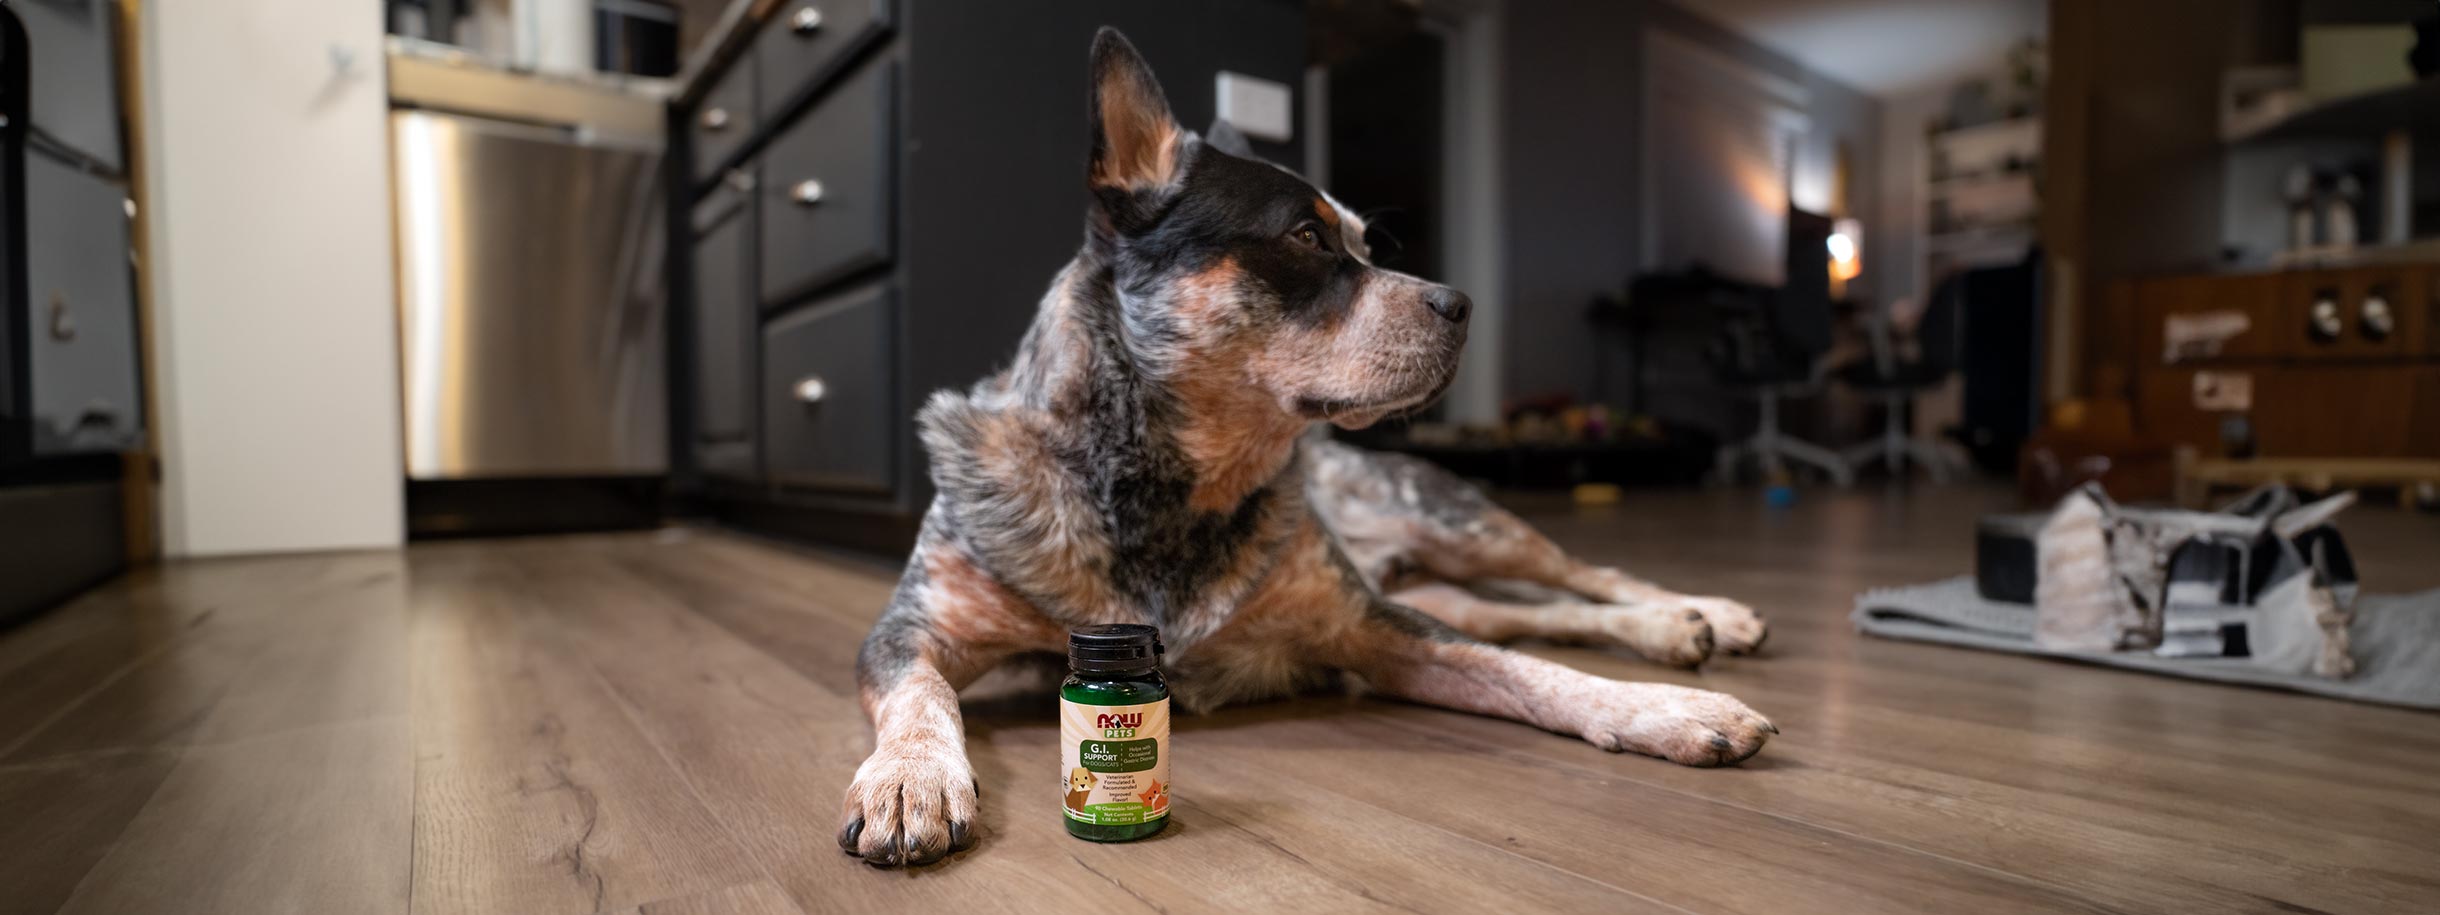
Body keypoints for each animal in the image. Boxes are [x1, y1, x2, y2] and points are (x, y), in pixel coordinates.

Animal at [839, 28, 1776, 868]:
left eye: (1363, 241)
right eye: (1306, 237)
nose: (1464, 304)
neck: (1171, 486)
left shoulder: (1371, 626)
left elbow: (1529, 671)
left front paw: (1670, 709)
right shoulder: (914, 625)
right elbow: (920, 690)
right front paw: (910, 778)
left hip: (1457, 522)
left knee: (1581, 578)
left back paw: (1697, 615)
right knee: (1530, 609)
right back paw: (1676, 628)